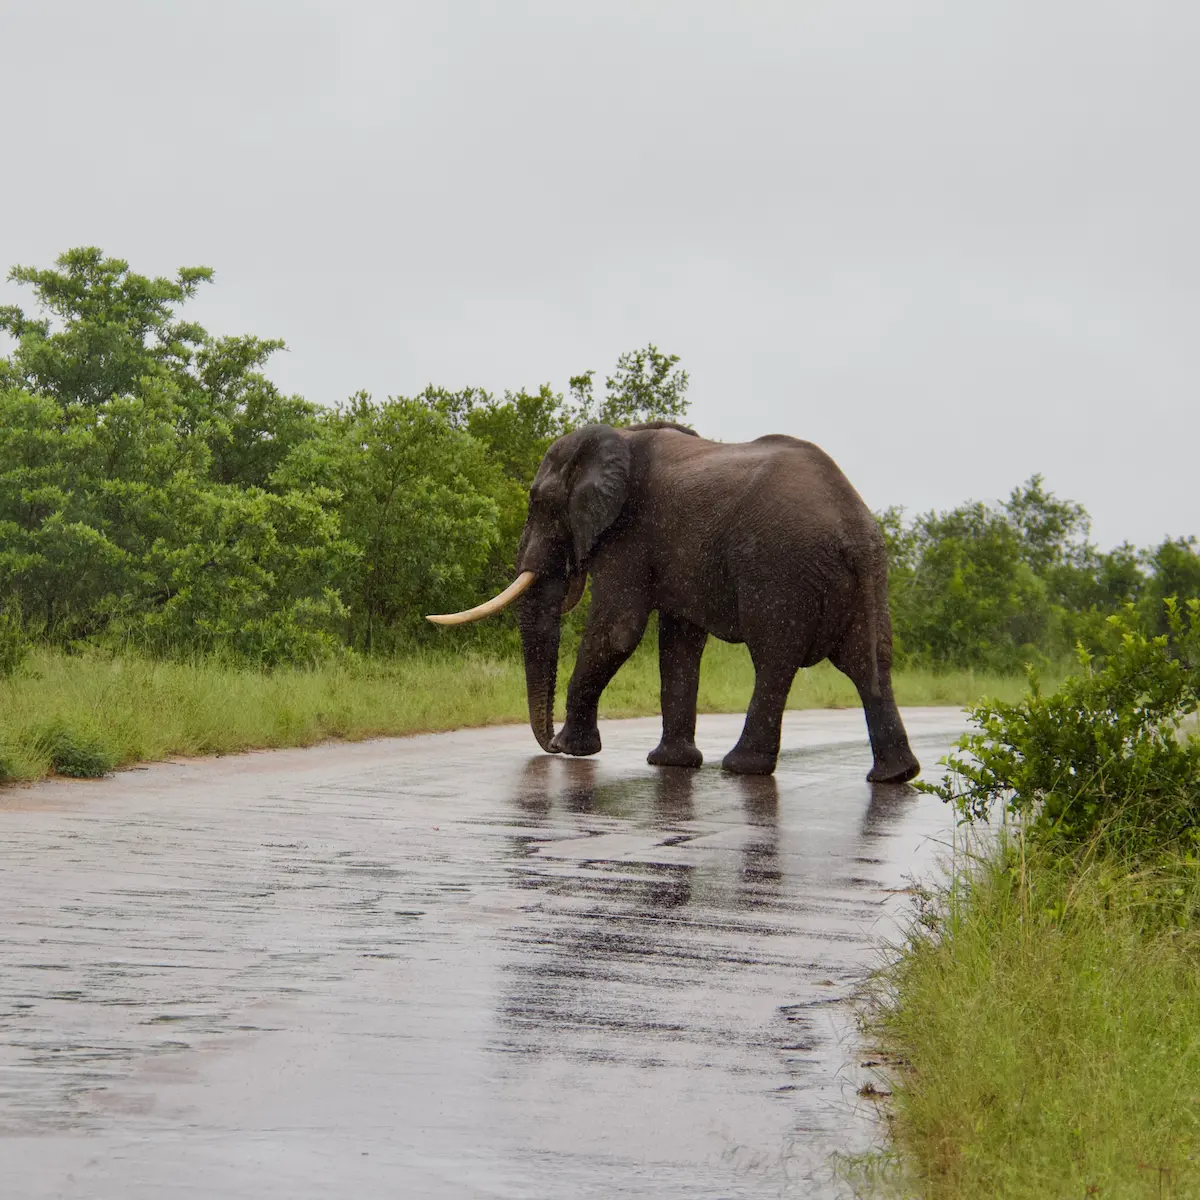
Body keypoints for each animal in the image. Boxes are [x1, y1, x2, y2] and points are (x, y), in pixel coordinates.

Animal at [428, 421, 920, 782]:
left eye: (540, 503)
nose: (549, 746)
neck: (617, 436)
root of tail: (852, 523)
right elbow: (679, 643)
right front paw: (670, 764)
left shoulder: (629, 533)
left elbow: (618, 630)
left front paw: (573, 749)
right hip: (869, 577)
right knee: (870, 662)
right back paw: (894, 776)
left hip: (779, 570)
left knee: (774, 659)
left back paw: (741, 768)